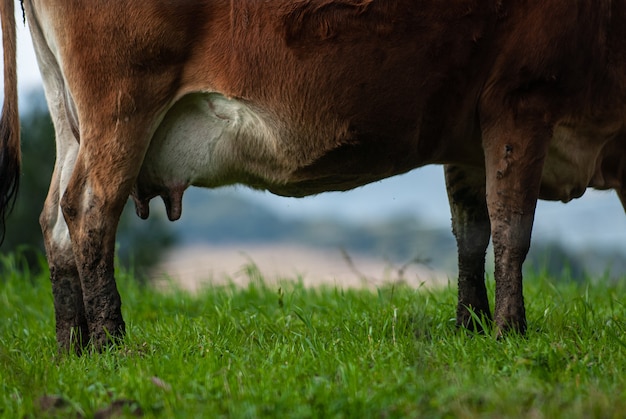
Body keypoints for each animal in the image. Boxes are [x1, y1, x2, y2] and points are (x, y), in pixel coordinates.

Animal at [1, 1, 624, 352]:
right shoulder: (520, 100)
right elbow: (512, 227)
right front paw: (509, 333)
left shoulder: (467, 133)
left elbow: (471, 231)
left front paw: (469, 328)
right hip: (120, 103)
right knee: (89, 209)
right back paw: (111, 344)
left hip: (68, 111)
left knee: (54, 217)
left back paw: (72, 348)